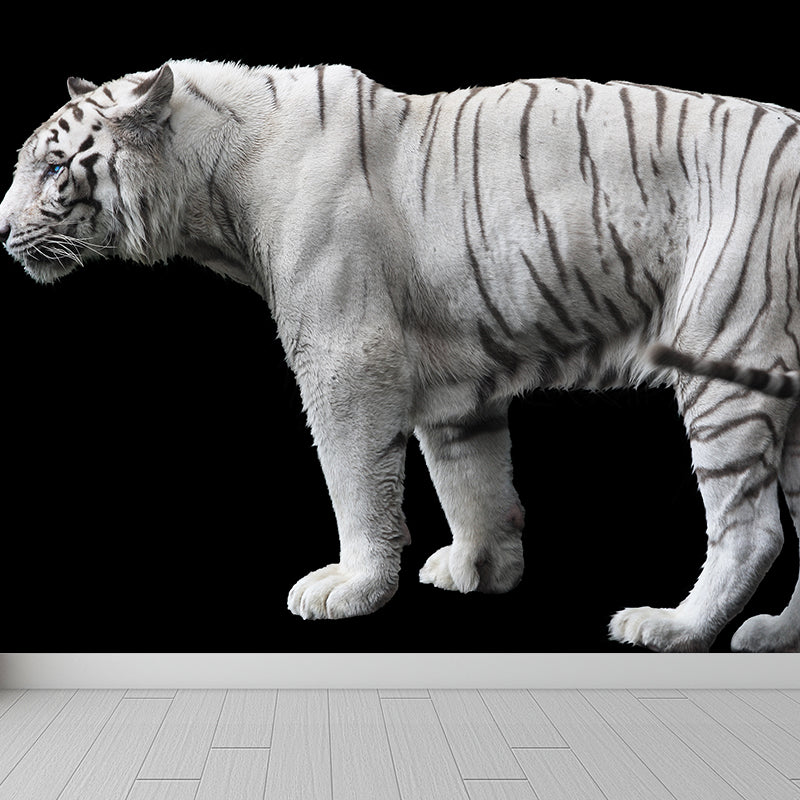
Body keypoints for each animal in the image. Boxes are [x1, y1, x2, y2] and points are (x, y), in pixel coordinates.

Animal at [2, 59, 800, 652]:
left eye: (55, 169)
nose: (3, 229)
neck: (211, 191)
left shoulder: (345, 354)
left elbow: (356, 479)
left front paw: (352, 587)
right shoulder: (459, 377)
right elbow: (469, 479)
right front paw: (481, 568)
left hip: (724, 350)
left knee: (751, 528)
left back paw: (673, 626)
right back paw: (774, 634)